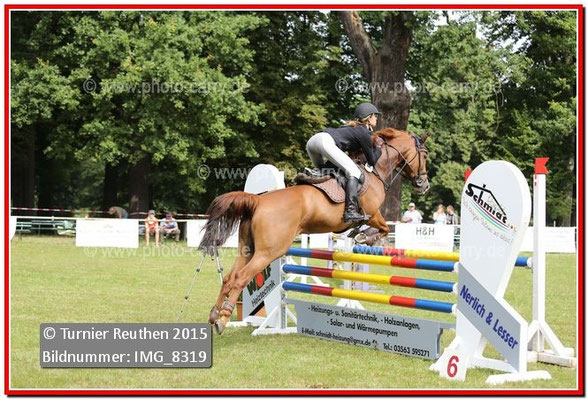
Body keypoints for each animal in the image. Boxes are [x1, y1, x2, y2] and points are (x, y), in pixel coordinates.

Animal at [199, 128, 430, 334]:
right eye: (425, 155)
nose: (424, 185)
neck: (375, 172)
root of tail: (258, 200)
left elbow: (376, 230)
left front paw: (358, 235)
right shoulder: (373, 214)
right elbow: (383, 229)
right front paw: (364, 237)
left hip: (247, 248)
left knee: (229, 278)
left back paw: (214, 314)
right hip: (269, 252)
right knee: (240, 278)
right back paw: (223, 319)